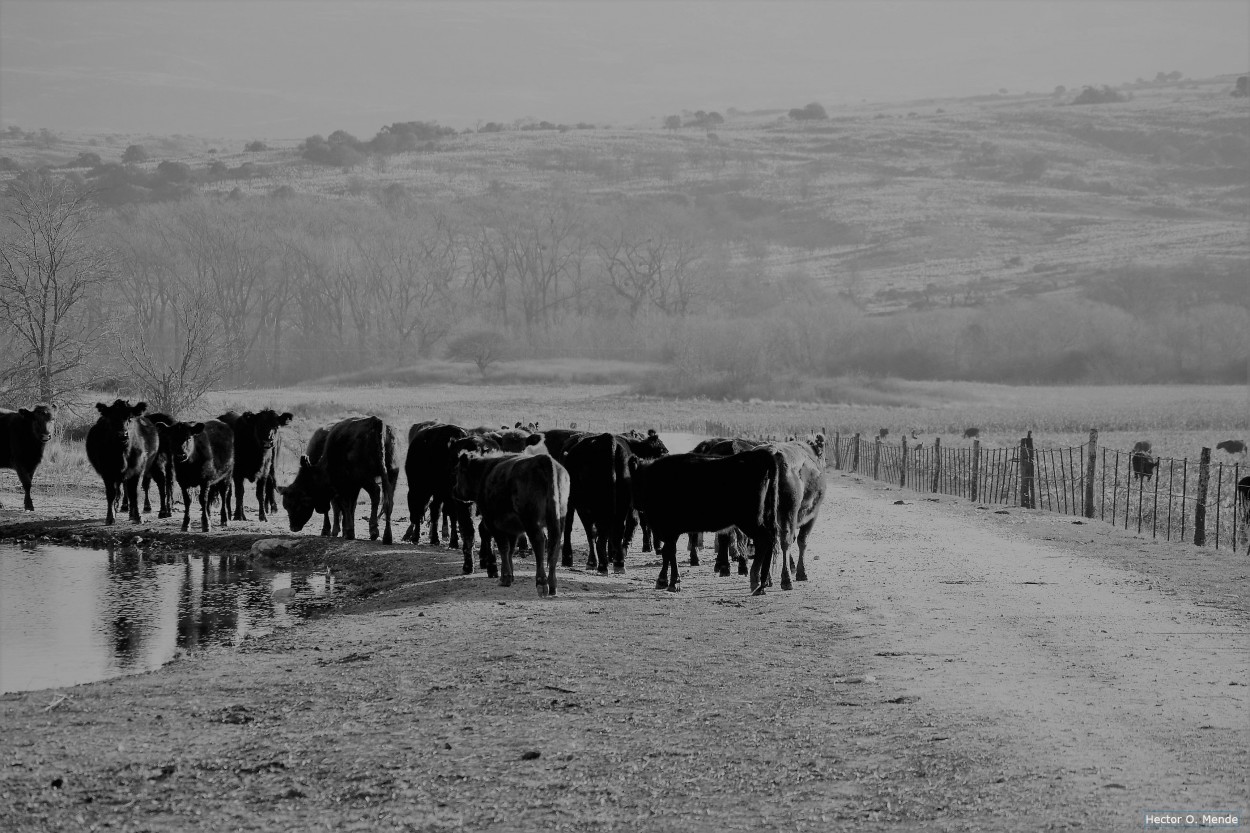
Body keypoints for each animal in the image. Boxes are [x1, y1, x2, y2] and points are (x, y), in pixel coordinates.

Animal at [281, 412, 397, 542]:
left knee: (375, 493)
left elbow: (343, 505)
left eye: (297, 503)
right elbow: (350, 506)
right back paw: (387, 536)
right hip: (392, 473)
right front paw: (346, 530)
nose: (293, 527)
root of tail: (375, 422)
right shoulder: (352, 486)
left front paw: (348, 531)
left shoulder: (342, 484)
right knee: (388, 501)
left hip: (364, 477)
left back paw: (373, 530)